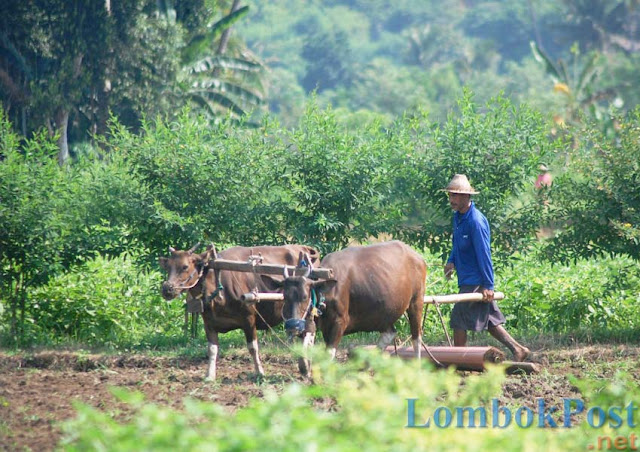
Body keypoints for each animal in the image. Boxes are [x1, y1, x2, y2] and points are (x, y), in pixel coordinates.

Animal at [160, 242, 320, 380]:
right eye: (168, 267)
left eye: (185, 266)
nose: (167, 289)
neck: (218, 285)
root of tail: (305, 248)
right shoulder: (208, 323)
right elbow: (212, 349)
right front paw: (209, 375)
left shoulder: (249, 318)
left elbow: (253, 348)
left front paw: (260, 372)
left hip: (308, 309)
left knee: (310, 333)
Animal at [262, 240, 428, 374]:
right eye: (285, 296)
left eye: (305, 296)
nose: (293, 327)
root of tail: (418, 257)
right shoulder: (322, 325)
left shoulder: (340, 321)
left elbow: (329, 353)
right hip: (383, 313)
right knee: (390, 332)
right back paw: (366, 366)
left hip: (416, 301)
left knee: (416, 336)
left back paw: (418, 365)